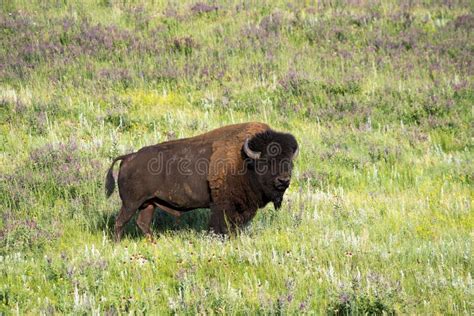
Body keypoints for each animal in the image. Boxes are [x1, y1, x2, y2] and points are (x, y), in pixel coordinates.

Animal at [105, 122, 298, 241]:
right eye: (266, 162)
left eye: (289, 162)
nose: (283, 180)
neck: (244, 161)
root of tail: (128, 157)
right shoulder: (222, 206)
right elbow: (221, 226)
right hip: (131, 203)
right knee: (120, 222)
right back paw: (117, 244)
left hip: (149, 203)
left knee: (142, 223)